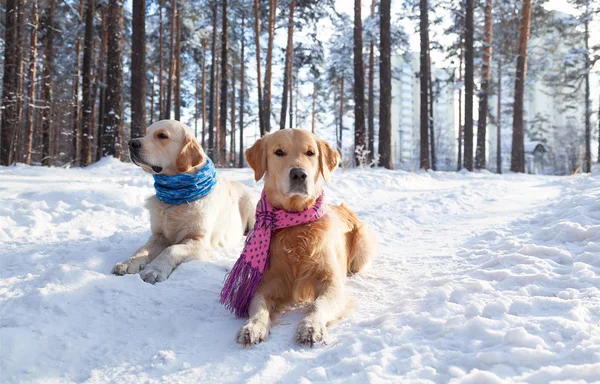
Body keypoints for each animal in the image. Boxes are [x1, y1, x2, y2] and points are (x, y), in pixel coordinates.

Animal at [112, 120, 258, 284]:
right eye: (146, 133)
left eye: (162, 136)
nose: (131, 143)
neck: (177, 197)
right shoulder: (158, 235)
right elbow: (142, 249)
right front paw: (127, 263)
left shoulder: (199, 241)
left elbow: (171, 249)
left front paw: (154, 270)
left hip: (251, 205)